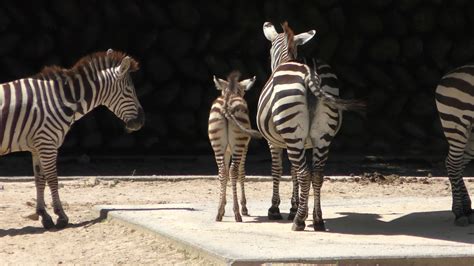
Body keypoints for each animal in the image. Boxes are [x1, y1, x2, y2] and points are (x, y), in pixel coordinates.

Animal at [0, 49, 144, 229]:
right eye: (128, 91)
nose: (141, 121)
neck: (62, 100)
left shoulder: (38, 146)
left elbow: (39, 179)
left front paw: (44, 215)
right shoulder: (47, 143)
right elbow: (52, 179)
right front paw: (61, 216)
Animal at [208, 70, 262, 222]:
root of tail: (227, 102)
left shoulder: (226, 150)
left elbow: (224, 174)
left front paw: (223, 204)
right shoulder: (245, 148)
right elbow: (241, 173)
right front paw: (244, 207)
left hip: (217, 144)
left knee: (222, 171)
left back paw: (219, 212)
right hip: (239, 144)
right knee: (234, 171)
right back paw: (237, 212)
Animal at [258, 21, 364, 231]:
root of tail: (310, 73)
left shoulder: (274, 142)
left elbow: (278, 170)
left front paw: (277, 210)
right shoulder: (306, 142)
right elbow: (293, 171)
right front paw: (297, 207)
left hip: (292, 132)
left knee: (305, 173)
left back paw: (299, 222)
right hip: (323, 136)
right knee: (317, 175)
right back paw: (317, 220)